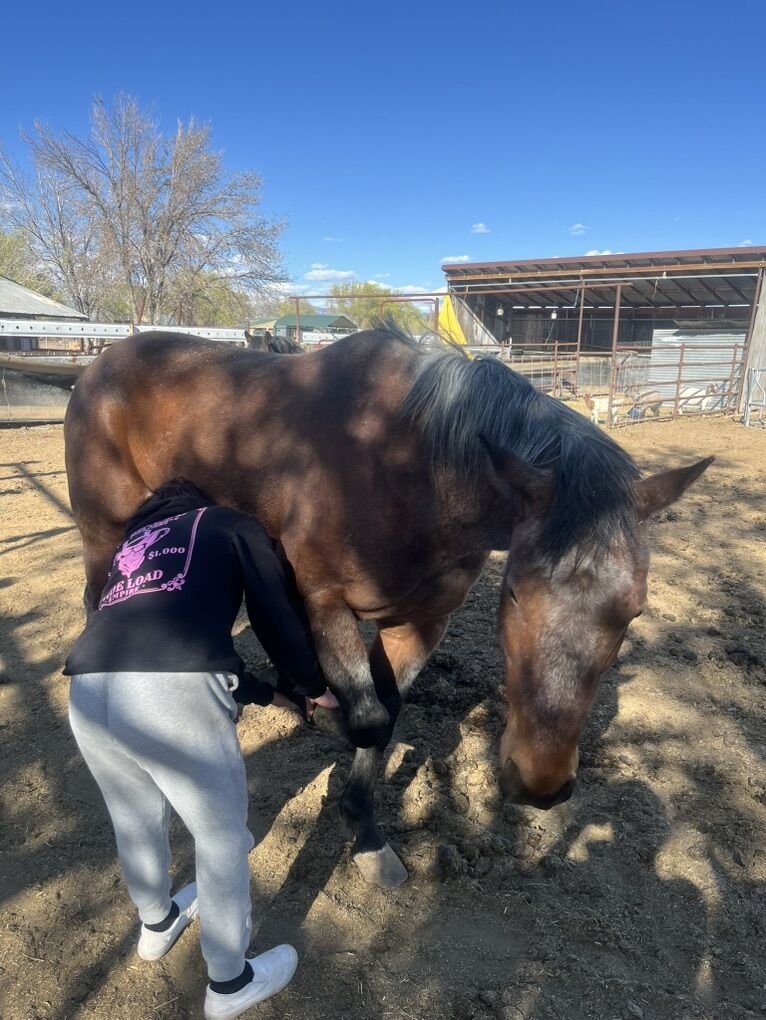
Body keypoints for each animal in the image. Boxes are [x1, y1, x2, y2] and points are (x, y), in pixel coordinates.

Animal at [64, 324, 712, 889]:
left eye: (634, 611)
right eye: (514, 592)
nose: (541, 781)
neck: (407, 466)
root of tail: (103, 359)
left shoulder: (421, 621)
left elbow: (385, 713)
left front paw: (364, 827)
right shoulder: (327, 603)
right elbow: (371, 719)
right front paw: (363, 831)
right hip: (107, 536)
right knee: (101, 607)